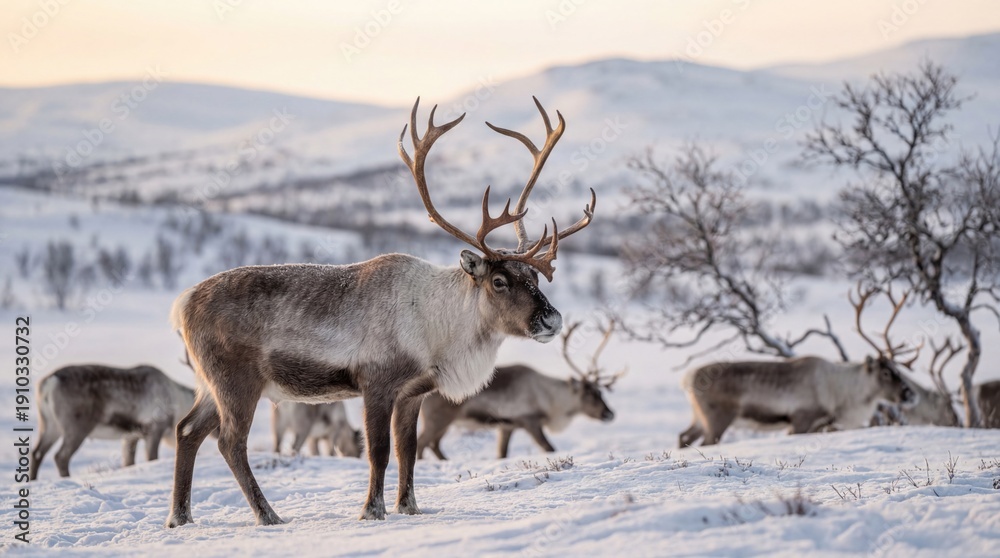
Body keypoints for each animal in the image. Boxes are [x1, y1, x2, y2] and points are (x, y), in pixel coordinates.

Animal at [31, 364, 195, 480]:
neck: (178, 401)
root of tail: (50, 381)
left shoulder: (130, 436)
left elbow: (128, 463)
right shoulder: (154, 429)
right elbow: (152, 458)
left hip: (49, 425)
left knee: (36, 453)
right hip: (76, 427)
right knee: (61, 457)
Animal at [165, 97, 596, 528]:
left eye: (535, 278)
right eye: (500, 281)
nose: (552, 319)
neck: (439, 327)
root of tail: (181, 304)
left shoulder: (413, 392)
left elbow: (409, 450)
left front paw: (410, 507)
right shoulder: (376, 383)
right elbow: (380, 451)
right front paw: (372, 510)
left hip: (209, 384)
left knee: (187, 430)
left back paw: (180, 517)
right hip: (236, 382)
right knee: (229, 442)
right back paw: (267, 514)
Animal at [417, 319, 623, 460]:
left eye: (601, 392)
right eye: (589, 394)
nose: (610, 414)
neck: (550, 398)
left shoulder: (507, 427)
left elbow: (502, 454)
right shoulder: (529, 421)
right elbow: (549, 448)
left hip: (445, 423)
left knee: (434, 445)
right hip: (438, 420)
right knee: (422, 444)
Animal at [678, 284, 920, 447]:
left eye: (899, 369)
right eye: (887, 372)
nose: (911, 394)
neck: (841, 393)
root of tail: (686, 379)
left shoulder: (820, 424)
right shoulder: (801, 420)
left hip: (698, 418)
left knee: (683, 437)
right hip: (717, 419)